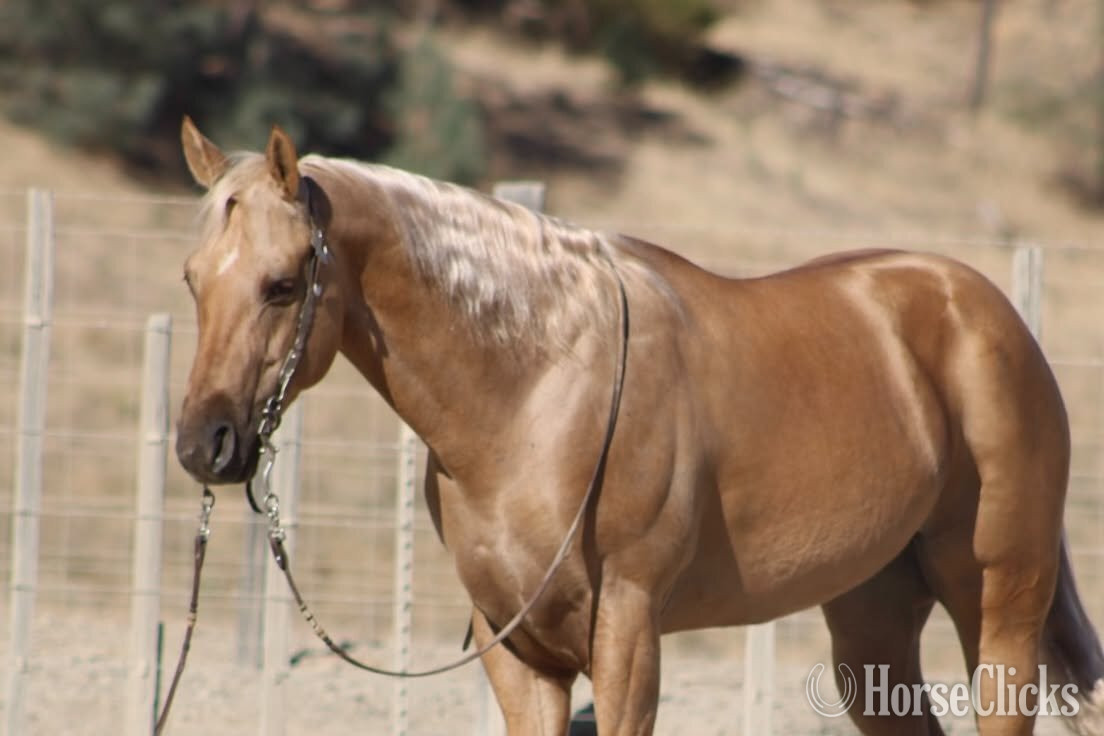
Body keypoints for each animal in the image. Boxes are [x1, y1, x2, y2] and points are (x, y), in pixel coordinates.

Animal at [174, 118, 1104, 736]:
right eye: (192, 279)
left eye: (283, 284)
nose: (202, 444)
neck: (538, 391)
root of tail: (989, 313)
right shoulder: (518, 655)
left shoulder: (627, 635)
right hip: (870, 624)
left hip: (1000, 609)